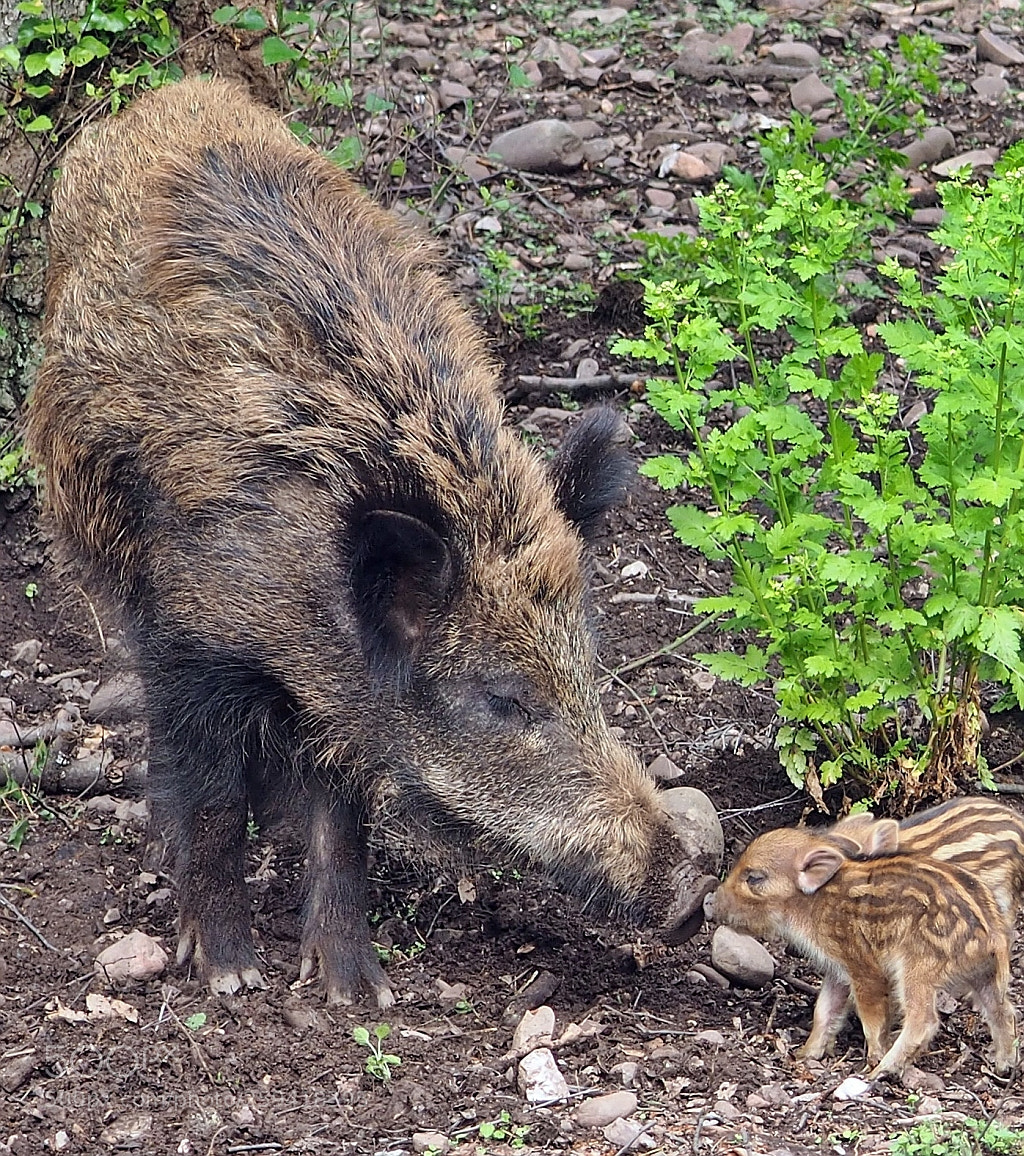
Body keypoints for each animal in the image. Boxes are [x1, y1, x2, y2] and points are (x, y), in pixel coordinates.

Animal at [27, 78, 705, 1007]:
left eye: (588, 672)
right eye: (502, 698)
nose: (692, 893)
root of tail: (167, 97)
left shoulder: (342, 702)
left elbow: (341, 820)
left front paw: (355, 993)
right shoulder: (192, 636)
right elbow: (210, 796)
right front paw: (230, 977)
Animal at [708, 827, 1017, 1081]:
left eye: (754, 877)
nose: (710, 902)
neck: (813, 902)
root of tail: (993, 937)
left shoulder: (862, 965)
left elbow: (870, 1016)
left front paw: (873, 1058)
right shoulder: (837, 969)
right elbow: (824, 1010)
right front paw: (805, 1055)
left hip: (919, 970)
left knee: (924, 1020)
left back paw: (881, 1072)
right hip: (985, 976)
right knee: (1004, 1011)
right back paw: (1004, 1066)